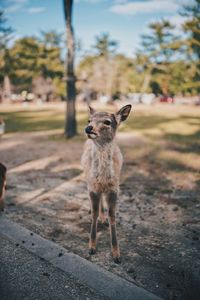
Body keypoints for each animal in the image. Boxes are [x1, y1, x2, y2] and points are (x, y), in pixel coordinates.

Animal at [81, 105, 131, 262]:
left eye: (107, 122)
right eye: (89, 120)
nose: (88, 128)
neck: (103, 178)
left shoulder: (114, 188)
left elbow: (112, 216)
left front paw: (116, 254)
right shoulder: (92, 187)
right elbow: (94, 214)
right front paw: (91, 247)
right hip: (87, 178)